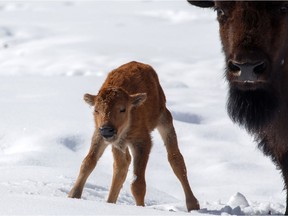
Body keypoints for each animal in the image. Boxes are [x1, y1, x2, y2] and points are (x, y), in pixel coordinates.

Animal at [68, 61, 200, 212]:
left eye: (122, 109)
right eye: (96, 110)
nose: (107, 130)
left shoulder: (142, 142)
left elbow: (138, 184)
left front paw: (141, 207)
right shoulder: (100, 136)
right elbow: (88, 162)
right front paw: (73, 195)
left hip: (164, 119)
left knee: (176, 159)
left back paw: (193, 205)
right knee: (121, 166)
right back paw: (110, 202)